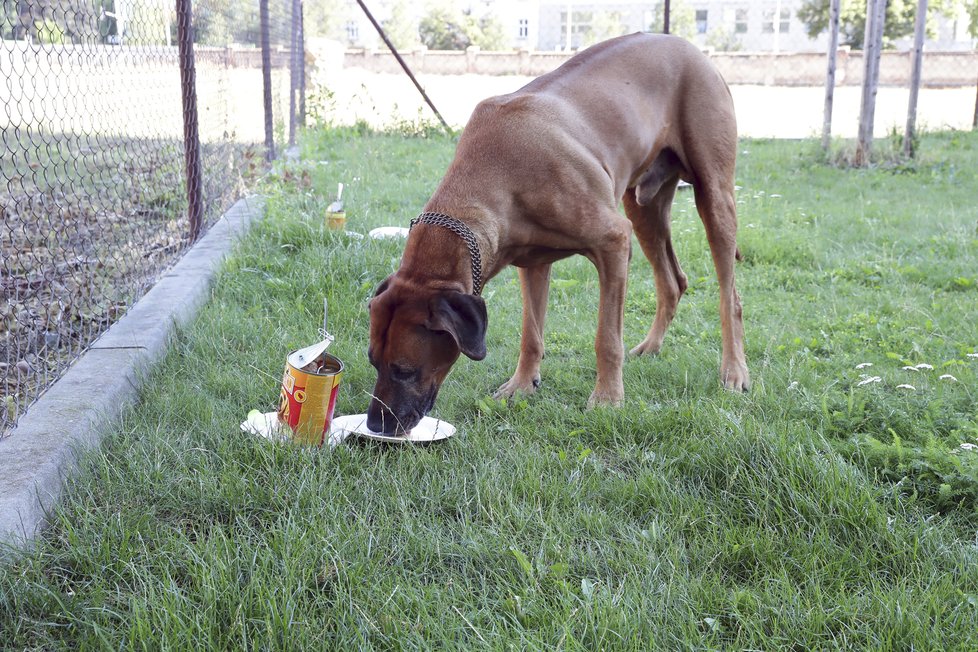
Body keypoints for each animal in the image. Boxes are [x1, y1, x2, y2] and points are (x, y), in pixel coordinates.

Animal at [366, 33, 748, 436]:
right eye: (373, 360)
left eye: (404, 370)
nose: (375, 424)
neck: (495, 172)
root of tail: (691, 48)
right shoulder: (531, 262)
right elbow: (531, 334)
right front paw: (521, 384)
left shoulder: (613, 241)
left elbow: (606, 338)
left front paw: (607, 399)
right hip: (644, 207)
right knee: (673, 281)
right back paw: (652, 346)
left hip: (713, 195)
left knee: (730, 297)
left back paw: (734, 371)